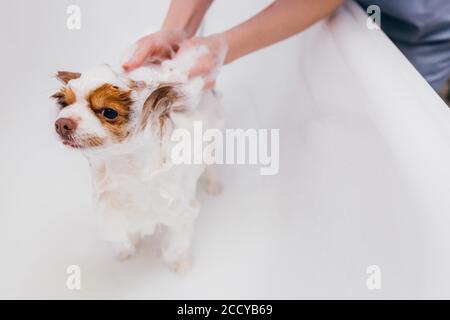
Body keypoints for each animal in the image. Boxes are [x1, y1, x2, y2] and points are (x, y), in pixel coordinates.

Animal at [51, 59, 223, 270]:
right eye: (64, 104)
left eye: (109, 112)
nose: (61, 123)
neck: (127, 169)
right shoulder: (118, 207)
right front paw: (128, 249)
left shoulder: (180, 211)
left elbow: (177, 241)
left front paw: (179, 263)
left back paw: (214, 185)